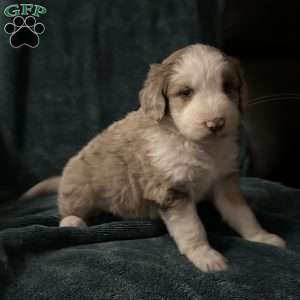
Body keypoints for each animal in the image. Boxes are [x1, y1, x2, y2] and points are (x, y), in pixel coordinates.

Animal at [23, 44, 286, 272]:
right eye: (186, 93)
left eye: (227, 87)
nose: (216, 123)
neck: (201, 146)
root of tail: (64, 177)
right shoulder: (172, 190)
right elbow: (192, 228)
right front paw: (205, 256)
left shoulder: (223, 180)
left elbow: (243, 213)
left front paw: (262, 237)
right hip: (80, 189)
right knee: (69, 210)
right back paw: (73, 222)